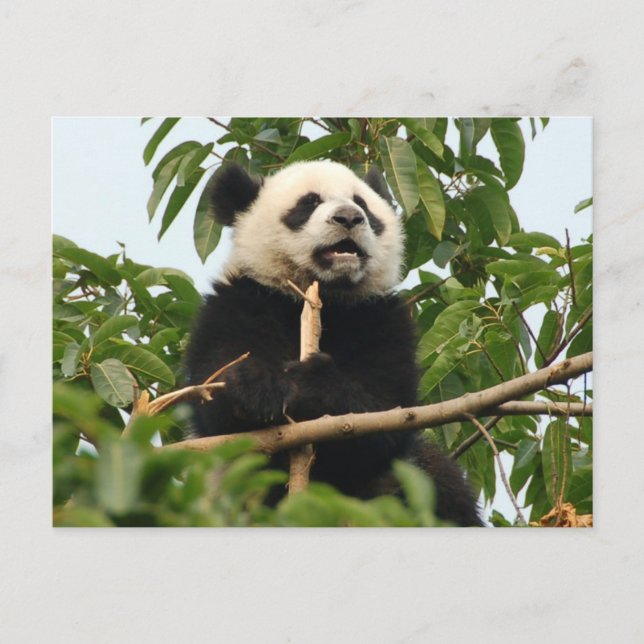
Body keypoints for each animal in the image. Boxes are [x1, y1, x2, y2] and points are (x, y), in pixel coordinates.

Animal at [185, 160, 482, 526]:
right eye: (309, 202)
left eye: (362, 204)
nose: (349, 217)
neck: (326, 295)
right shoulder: (241, 301)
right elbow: (215, 399)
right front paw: (258, 387)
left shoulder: (378, 319)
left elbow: (383, 411)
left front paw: (312, 381)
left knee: (439, 484)